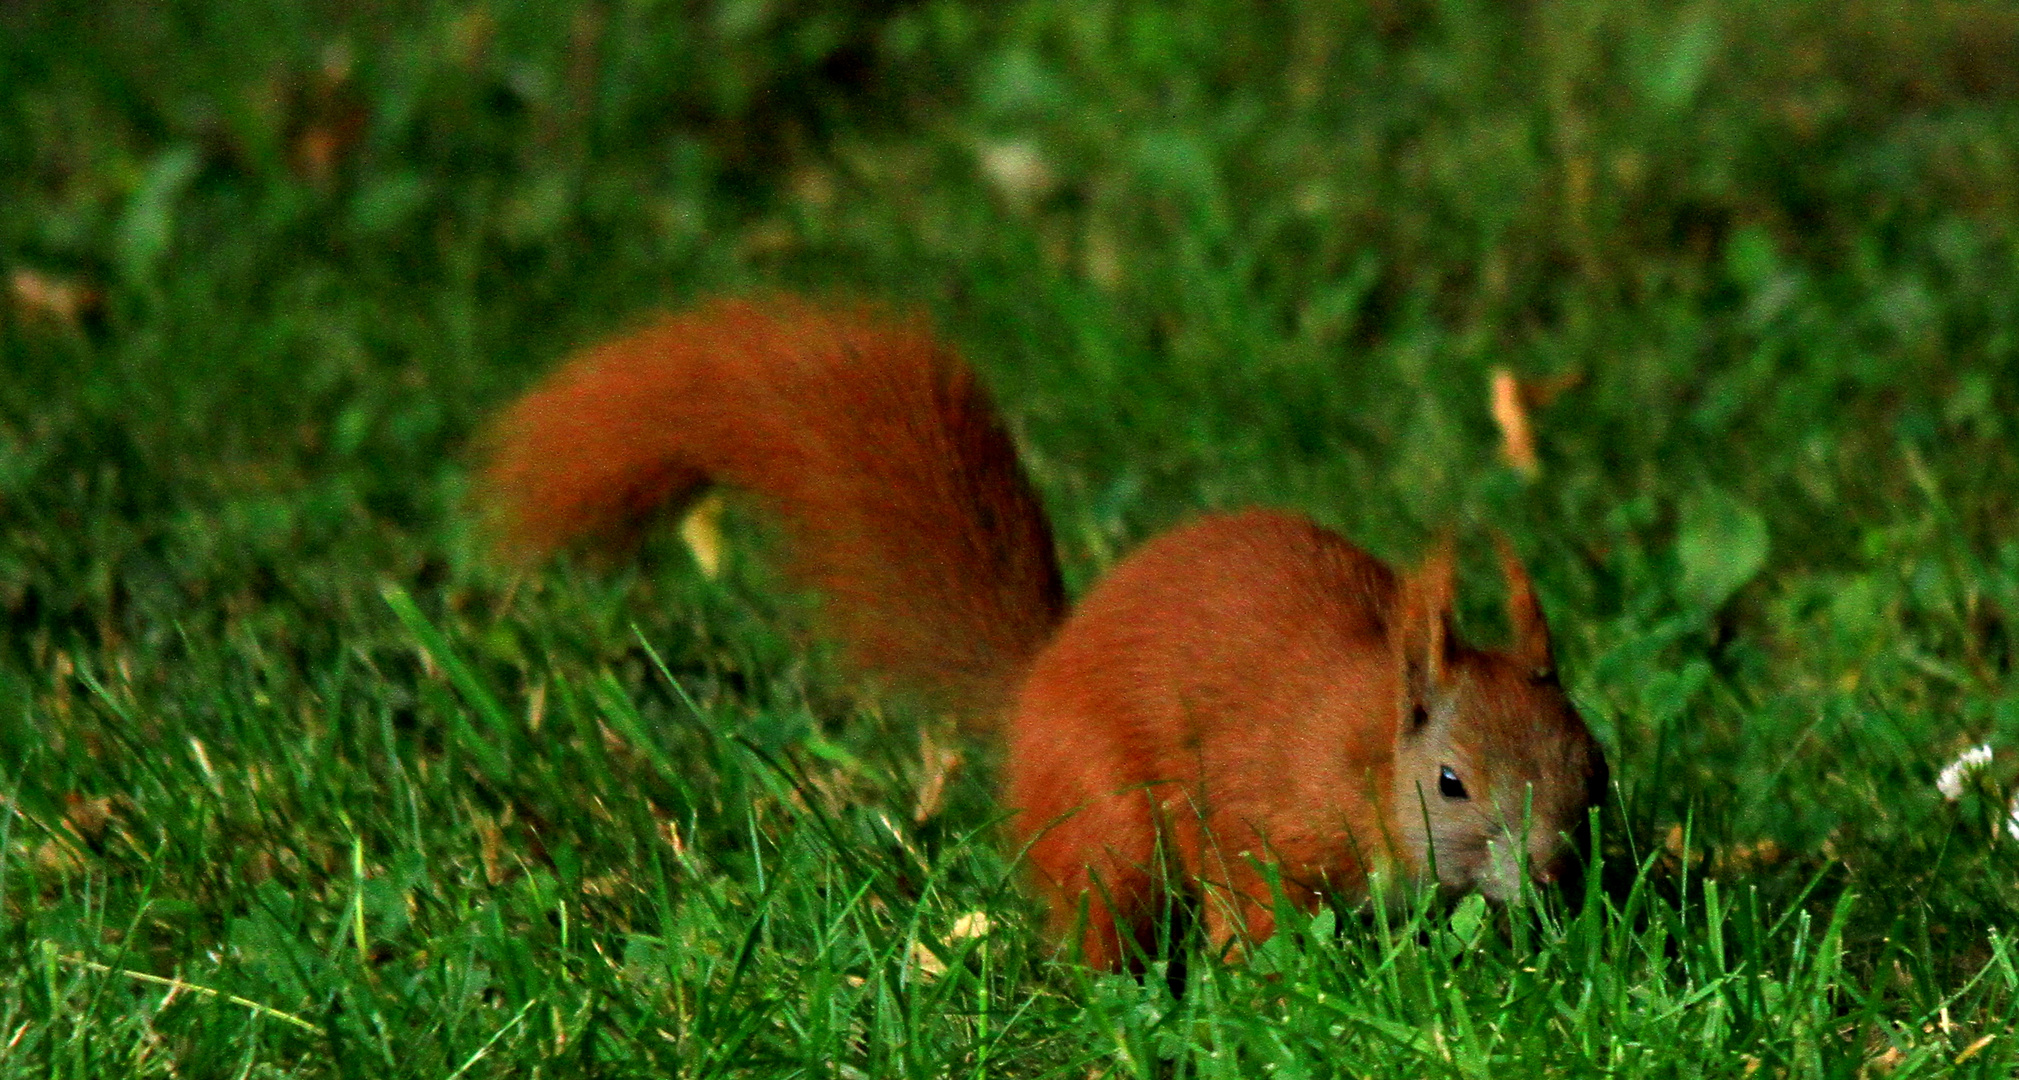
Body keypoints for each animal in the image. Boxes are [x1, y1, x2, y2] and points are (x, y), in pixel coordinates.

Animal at [476, 296, 1607, 973]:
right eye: (1451, 782)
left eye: (1590, 762)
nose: (1553, 871)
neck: (1366, 742)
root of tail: (1034, 683)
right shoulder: (1264, 817)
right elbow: (1251, 903)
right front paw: (1275, 987)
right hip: (1104, 815)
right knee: (1099, 902)